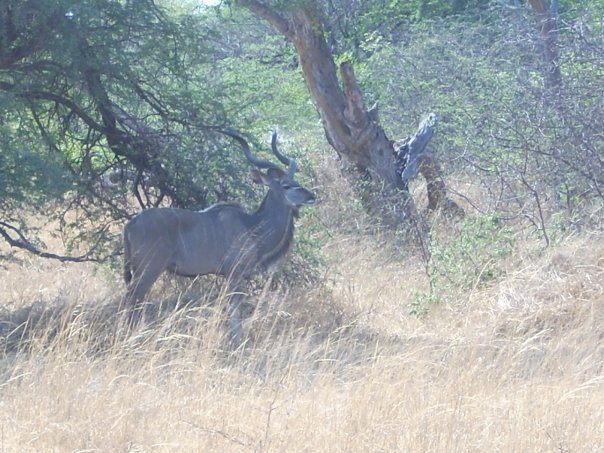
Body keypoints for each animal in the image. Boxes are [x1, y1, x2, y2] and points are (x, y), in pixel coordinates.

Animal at [122, 130, 316, 346]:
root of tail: (131, 224)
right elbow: (235, 310)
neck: (252, 226)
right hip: (149, 269)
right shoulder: (234, 273)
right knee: (133, 299)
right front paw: (237, 343)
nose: (312, 196)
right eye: (286, 186)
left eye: (297, 183)